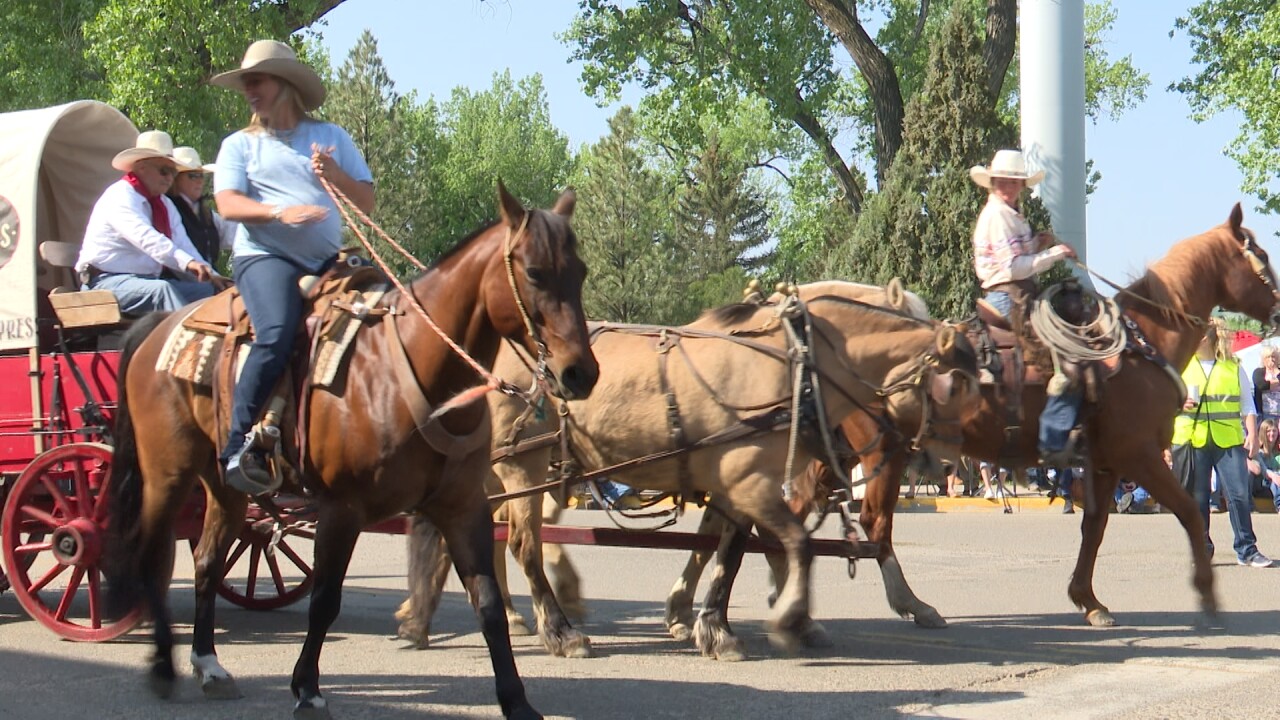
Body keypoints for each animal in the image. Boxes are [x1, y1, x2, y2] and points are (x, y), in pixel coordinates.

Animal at [101, 184, 599, 717]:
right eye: (534, 272)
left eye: (580, 271)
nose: (580, 373)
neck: (413, 372)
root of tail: (158, 326)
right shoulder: (342, 509)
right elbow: (325, 599)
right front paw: (306, 687)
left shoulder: (463, 507)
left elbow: (486, 604)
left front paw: (517, 699)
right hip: (166, 473)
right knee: (152, 556)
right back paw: (162, 665)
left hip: (222, 484)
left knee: (207, 561)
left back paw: (209, 665)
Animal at [394, 279, 972, 655]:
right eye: (962, 381)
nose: (945, 461)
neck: (792, 361)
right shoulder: (747, 478)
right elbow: (787, 543)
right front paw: (784, 616)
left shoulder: (738, 481)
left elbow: (726, 550)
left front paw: (710, 623)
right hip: (522, 467)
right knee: (520, 544)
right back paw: (558, 630)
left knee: (470, 535)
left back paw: (431, 617)